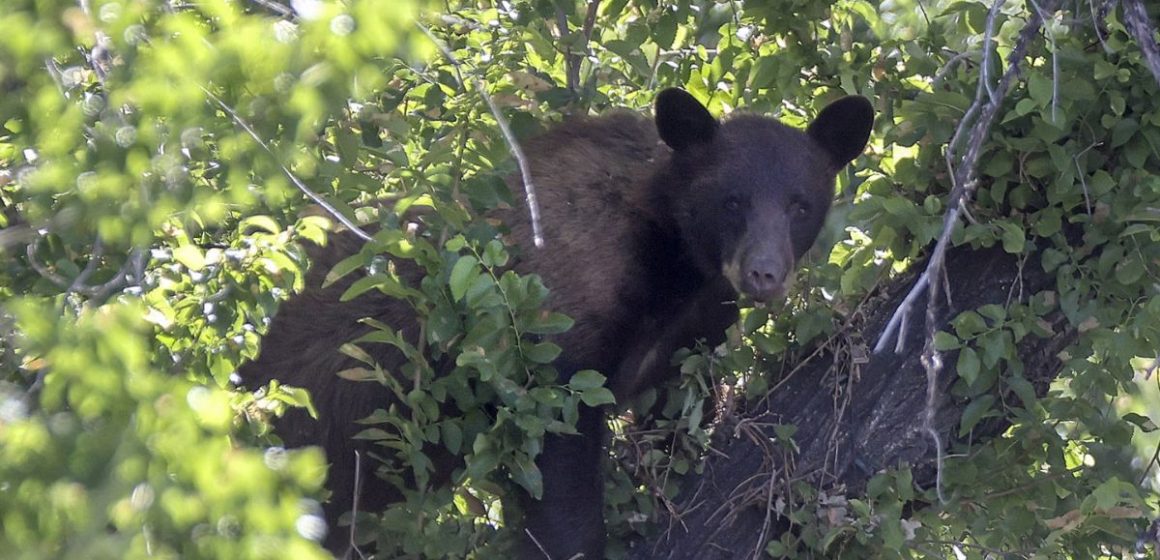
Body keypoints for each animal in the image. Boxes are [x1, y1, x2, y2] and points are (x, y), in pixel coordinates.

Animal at [237, 87, 872, 556]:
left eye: (799, 204)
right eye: (732, 200)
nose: (764, 274)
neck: (672, 263)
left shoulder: (692, 330)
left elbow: (676, 419)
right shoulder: (553, 325)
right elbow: (558, 458)